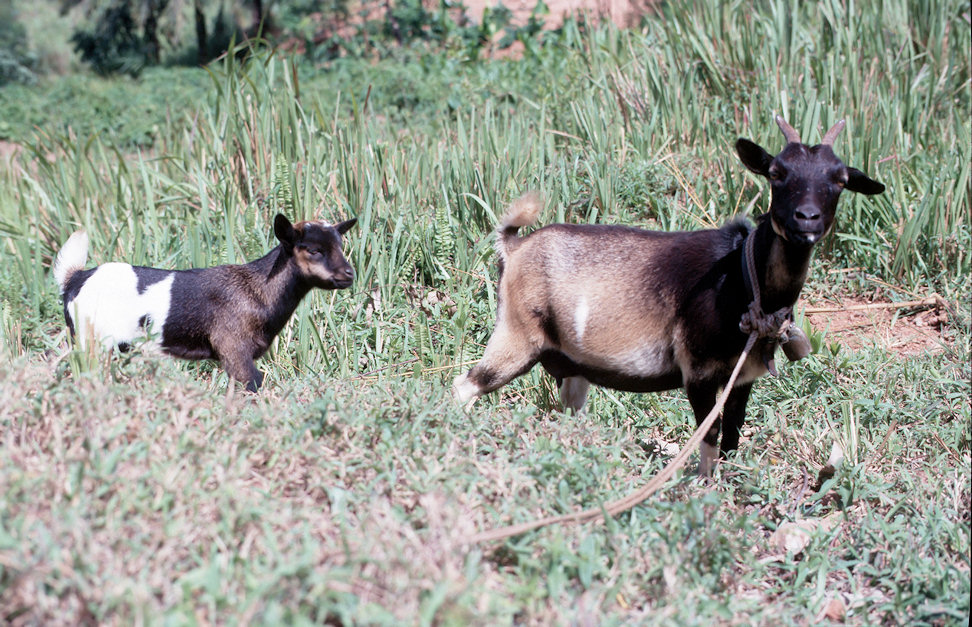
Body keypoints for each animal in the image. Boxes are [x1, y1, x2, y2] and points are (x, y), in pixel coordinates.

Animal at [53, 216, 356, 392]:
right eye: (314, 250)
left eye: (341, 246)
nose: (349, 274)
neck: (257, 289)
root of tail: (75, 277)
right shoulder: (234, 349)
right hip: (90, 339)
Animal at [452, 115, 884, 476]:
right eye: (776, 172)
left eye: (840, 179)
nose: (806, 219)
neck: (741, 278)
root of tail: (513, 247)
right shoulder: (698, 370)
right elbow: (709, 436)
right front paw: (704, 487)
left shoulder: (742, 376)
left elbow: (732, 436)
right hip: (516, 335)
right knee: (467, 384)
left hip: (572, 365)